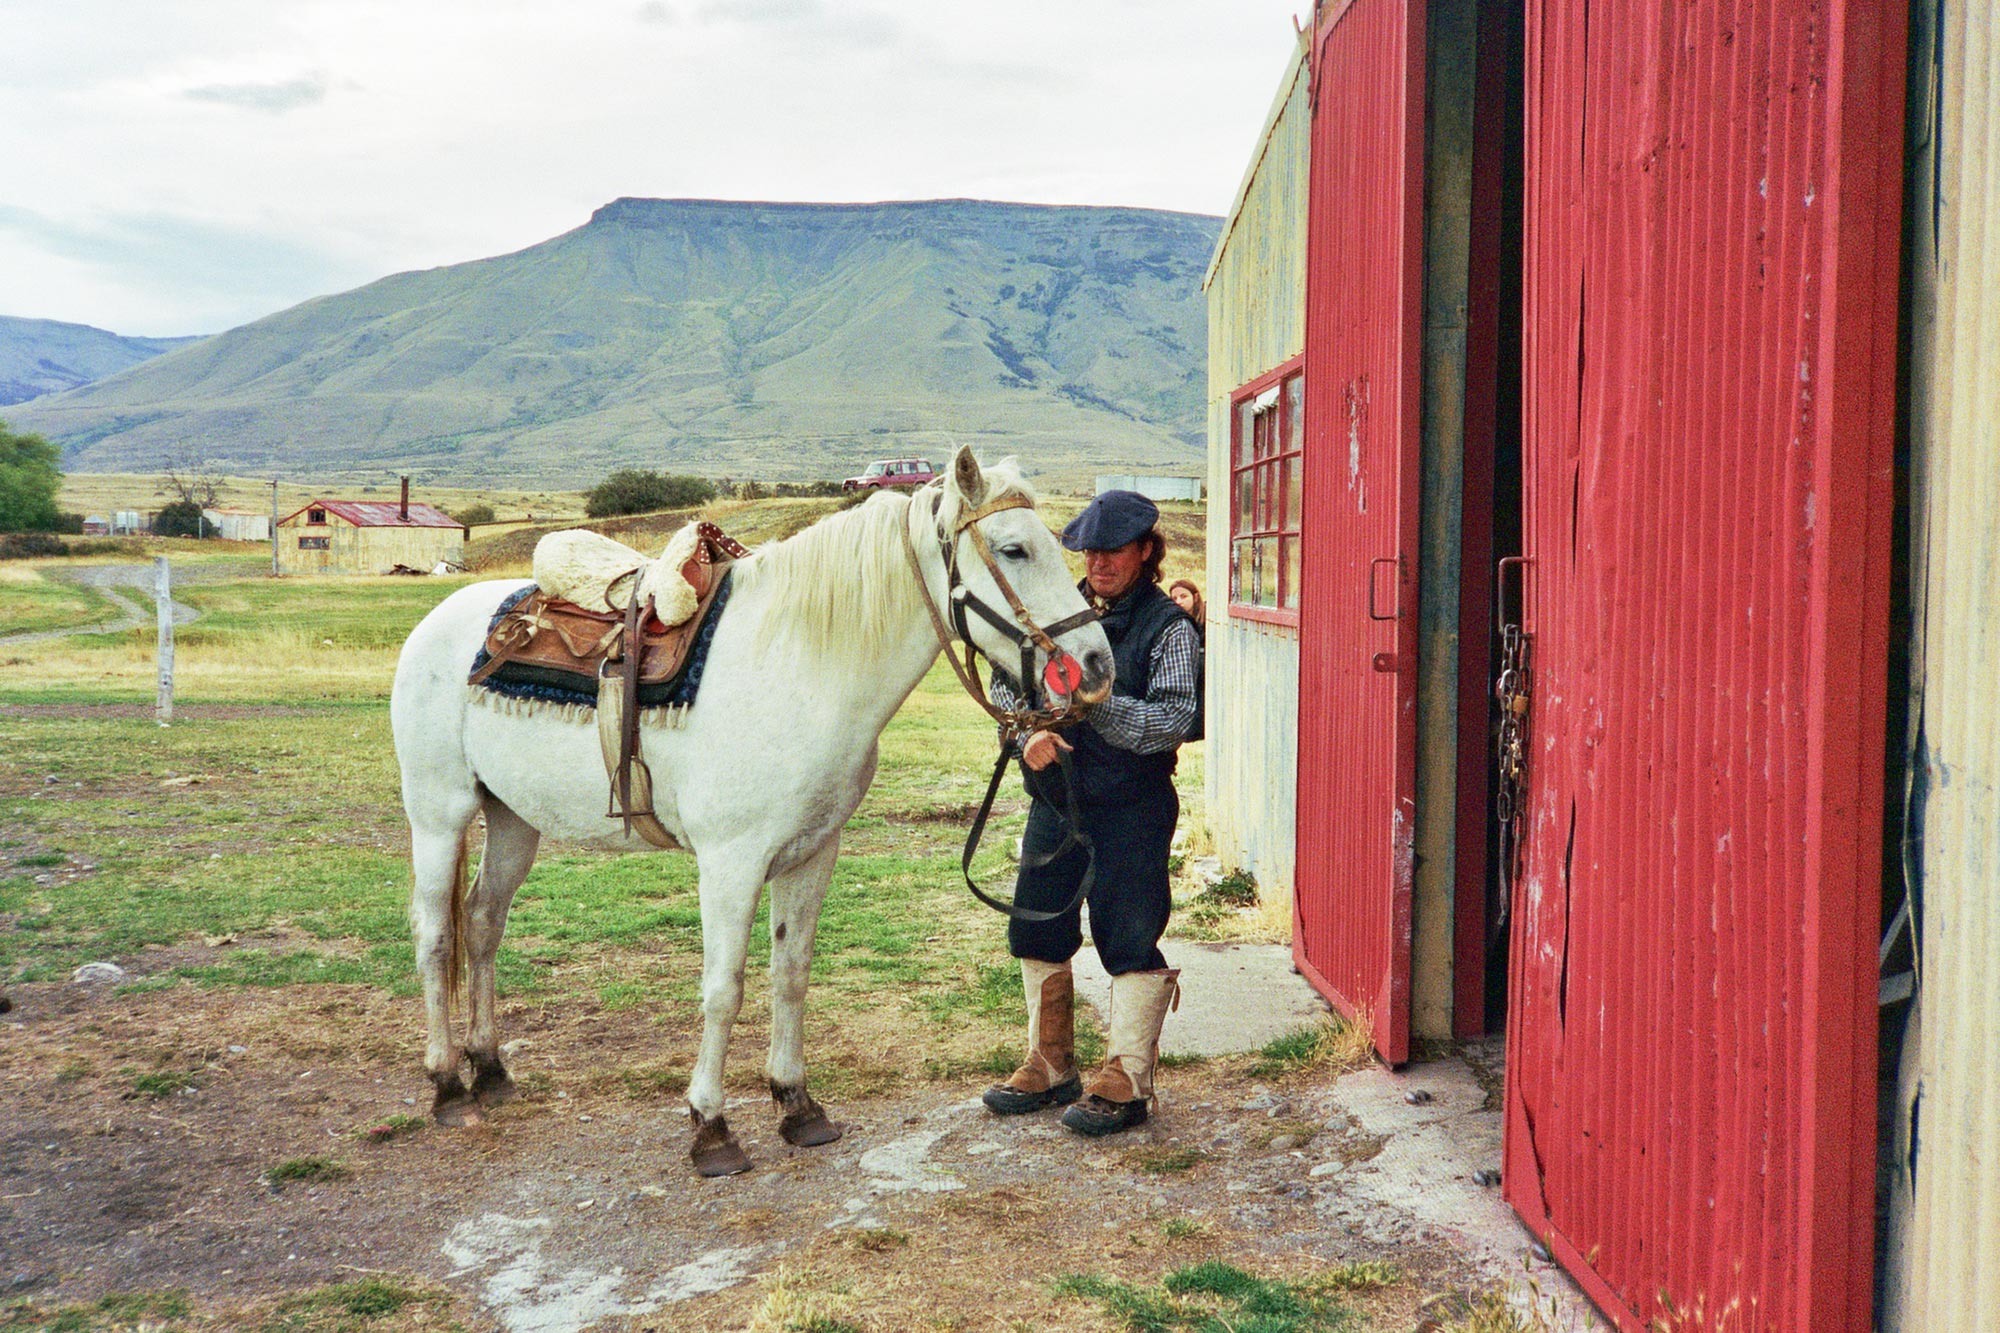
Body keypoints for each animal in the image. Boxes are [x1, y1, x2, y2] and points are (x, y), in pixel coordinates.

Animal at [390, 448, 1112, 1176]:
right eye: (1014, 549)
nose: (1097, 664)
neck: (802, 667)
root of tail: (437, 620)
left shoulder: (813, 852)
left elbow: (791, 974)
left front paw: (797, 1103)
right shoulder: (730, 863)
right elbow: (724, 988)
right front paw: (710, 1126)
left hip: (514, 817)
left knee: (483, 923)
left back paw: (489, 1068)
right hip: (439, 813)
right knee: (437, 935)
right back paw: (447, 1084)